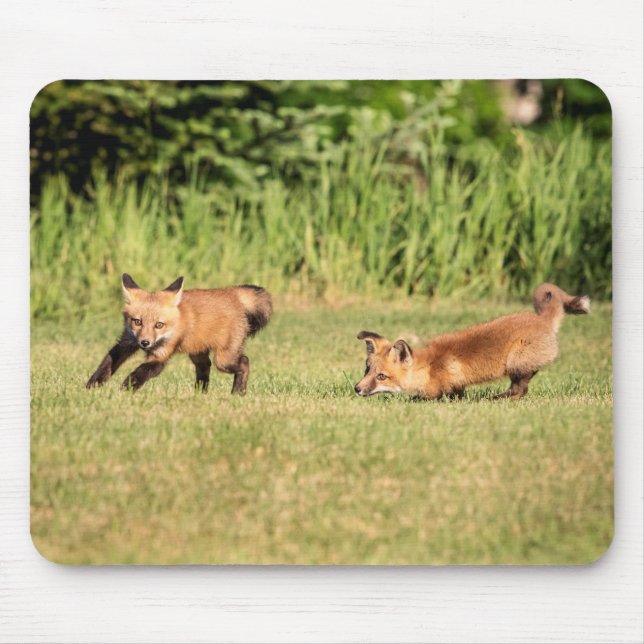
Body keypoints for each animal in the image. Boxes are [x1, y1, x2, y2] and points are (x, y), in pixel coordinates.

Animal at [86, 274, 272, 393]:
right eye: (137, 322)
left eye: (159, 325)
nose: (145, 343)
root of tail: (232, 292)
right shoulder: (127, 341)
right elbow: (107, 363)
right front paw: (92, 386)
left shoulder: (161, 354)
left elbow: (141, 371)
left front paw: (125, 389)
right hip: (198, 352)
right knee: (205, 367)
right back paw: (199, 394)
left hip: (223, 360)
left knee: (244, 361)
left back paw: (237, 392)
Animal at [354, 283, 590, 401]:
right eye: (366, 370)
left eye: (381, 376)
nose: (356, 388)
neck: (428, 368)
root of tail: (542, 319)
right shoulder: (458, 385)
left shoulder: (441, 387)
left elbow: (424, 398)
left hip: (516, 362)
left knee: (520, 390)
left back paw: (495, 399)